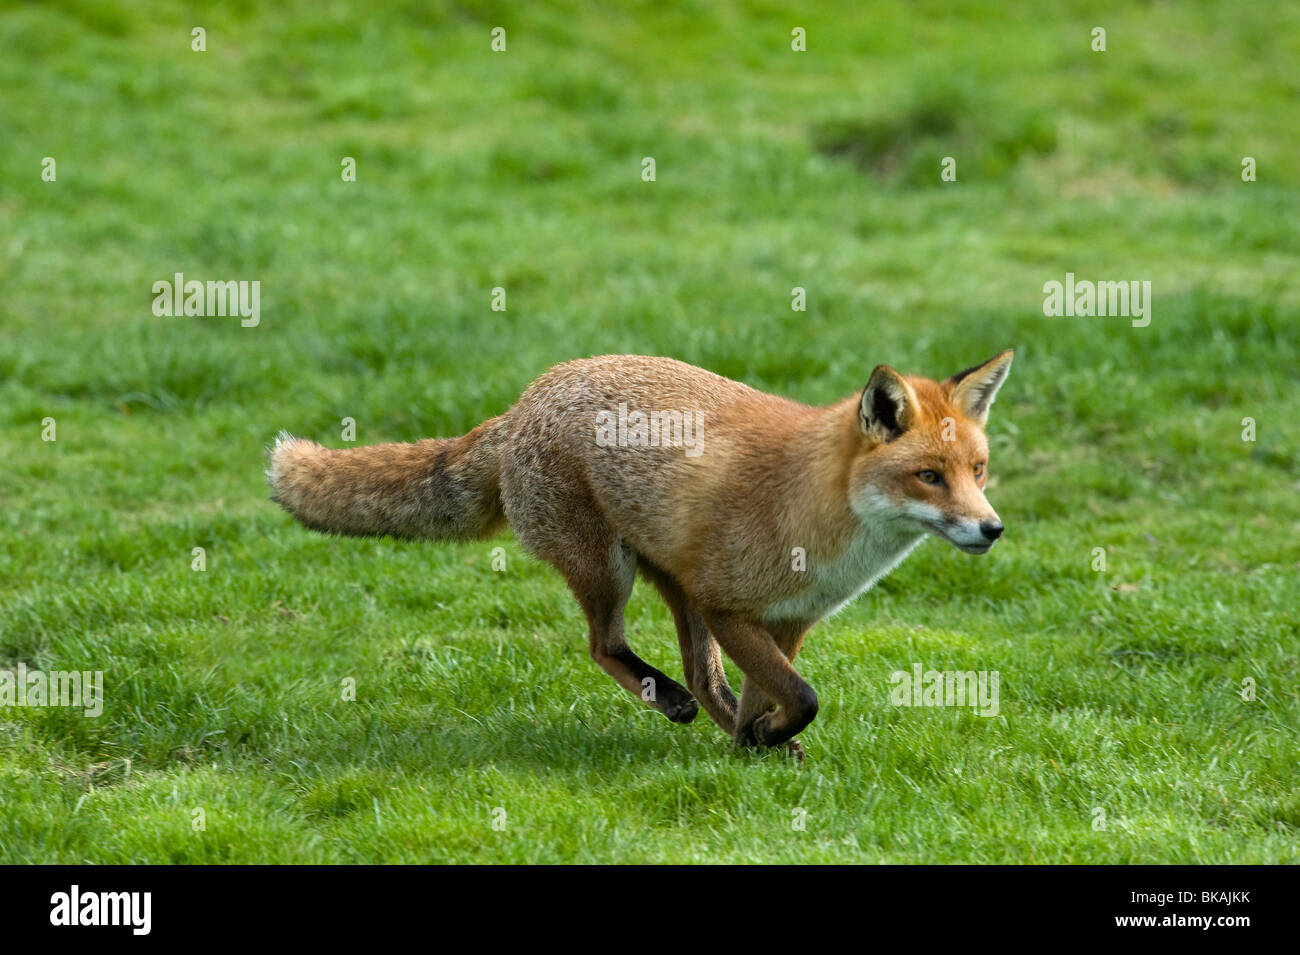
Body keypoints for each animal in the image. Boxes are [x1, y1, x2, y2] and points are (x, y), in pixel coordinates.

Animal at [269, 348, 1008, 753]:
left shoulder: (786, 620)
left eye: (978, 470)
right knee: (605, 647)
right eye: (929, 476)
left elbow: (770, 698)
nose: (992, 529)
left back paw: (714, 720)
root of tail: (526, 397)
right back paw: (668, 699)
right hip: (607, 568)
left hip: (674, 584)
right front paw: (765, 745)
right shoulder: (729, 605)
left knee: (702, 677)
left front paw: (756, 748)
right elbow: (803, 698)